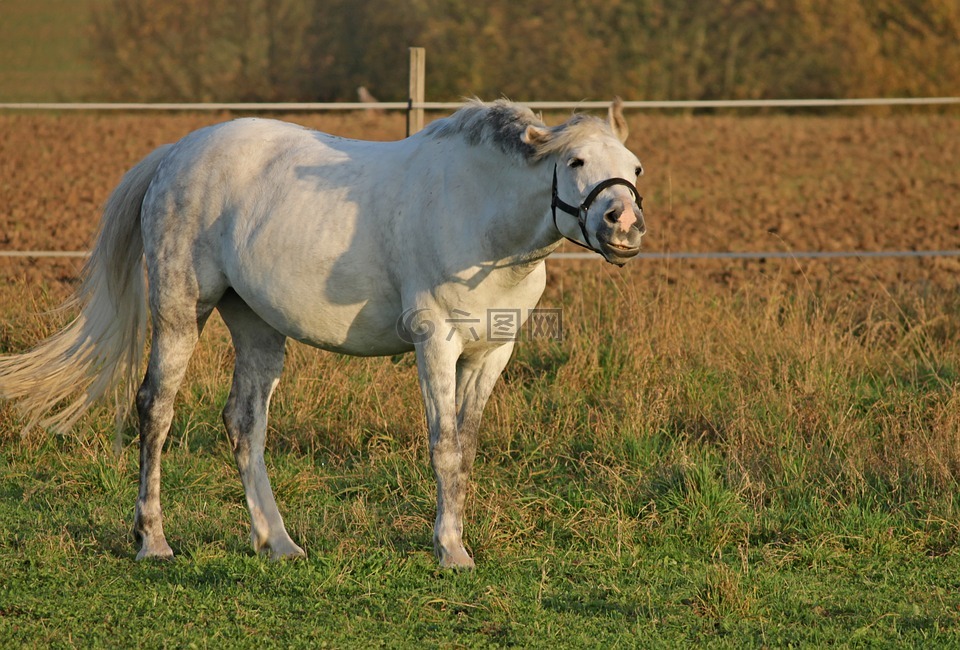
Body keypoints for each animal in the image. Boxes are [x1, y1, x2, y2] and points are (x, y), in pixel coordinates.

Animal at [0, 98, 646, 568]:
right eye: (577, 162)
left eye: (635, 167)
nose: (625, 224)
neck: (479, 215)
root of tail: (174, 154)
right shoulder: (436, 343)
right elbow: (443, 446)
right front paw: (450, 553)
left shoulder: (491, 353)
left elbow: (465, 448)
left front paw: (456, 543)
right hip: (182, 312)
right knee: (155, 409)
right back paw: (153, 541)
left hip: (257, 326)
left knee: (243, 422)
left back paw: (278, 543)